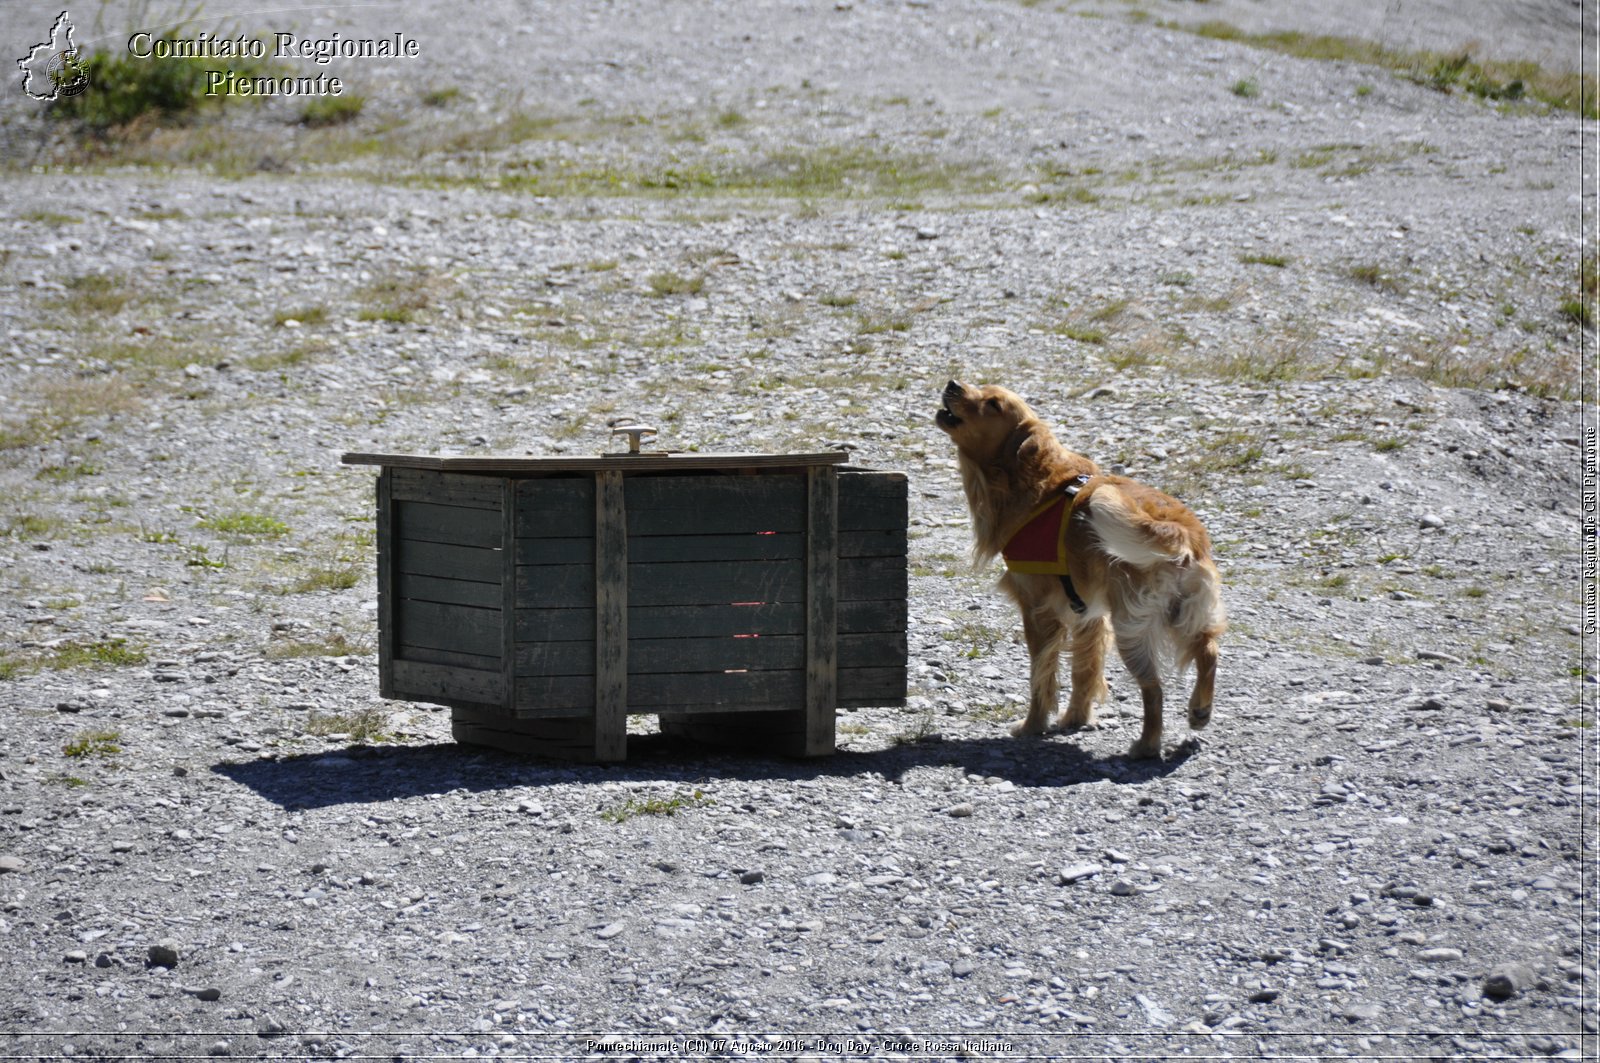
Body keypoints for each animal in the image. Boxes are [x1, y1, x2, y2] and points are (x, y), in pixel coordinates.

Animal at [934, 379, 1222, 755]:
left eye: (993, 404)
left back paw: (1146, 746)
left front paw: (1033, 725)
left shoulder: (1039, 610)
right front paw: (1076, 718)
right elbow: (1084, 670)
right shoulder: (1089, 613)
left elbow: (1041, 675)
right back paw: (1199, 711)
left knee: (1154, 689)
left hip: (1132, 625)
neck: (1034, 480)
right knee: (1209, 650)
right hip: (1185, 611)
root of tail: (1181, 530)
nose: (953, 383)